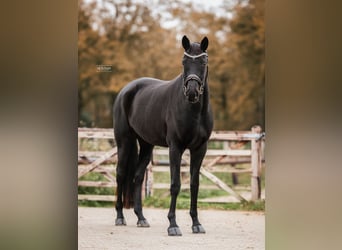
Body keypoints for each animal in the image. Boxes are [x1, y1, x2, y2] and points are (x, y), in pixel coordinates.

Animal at [113, 35, 212, 236]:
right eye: (184, 61)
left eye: (204, 61)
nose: (191, 92)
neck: (194, 111)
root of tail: (126, 90)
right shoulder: (175, 147)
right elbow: (175, 185)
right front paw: (173, 225)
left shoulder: (200, 149)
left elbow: (194, 185)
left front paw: (196, 223)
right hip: (124, 142)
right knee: (120, 174)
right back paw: (120, 217)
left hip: (146, 145)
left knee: (137, 177)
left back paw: (141, 218)